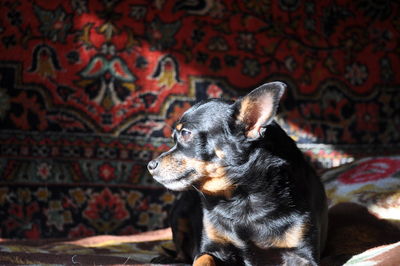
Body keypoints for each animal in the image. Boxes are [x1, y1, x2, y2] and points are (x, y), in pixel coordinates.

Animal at [148, 82, 328, 264]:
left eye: (185, 133)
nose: (150, 165)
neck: (239, 198)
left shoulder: (302, 256)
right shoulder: (212, 249)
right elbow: (201, 260)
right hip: (178, 214)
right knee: (181, 253)